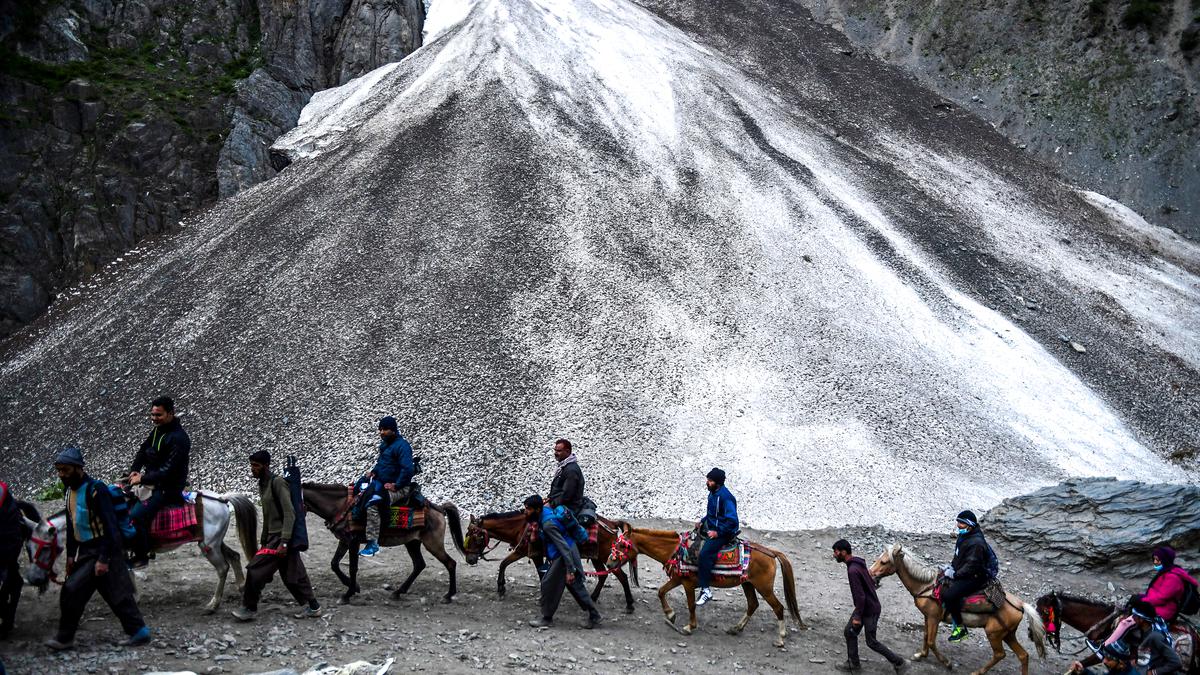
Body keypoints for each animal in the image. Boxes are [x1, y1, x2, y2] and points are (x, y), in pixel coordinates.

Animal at [25, 480, 256, 612]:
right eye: (28, 548)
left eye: (45, 548)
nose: (33, 579)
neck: (97, 517)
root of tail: (223, 499)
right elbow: (127, 571)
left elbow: (126, 572)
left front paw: (132, 597)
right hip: (213, 542)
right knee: (234, 556)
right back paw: (241, 586)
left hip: (209, 546)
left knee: (223, 567)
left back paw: (213, 604)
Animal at [300, 480, 468, 600]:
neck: (340, 506)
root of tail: (439, 509)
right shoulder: (344, 540)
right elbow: (334, 564)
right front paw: (354, 587)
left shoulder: (353, 541)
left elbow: (352, 567)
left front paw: (348, 594)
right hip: (412, 542)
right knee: (419, 564)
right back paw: (399, 592)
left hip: (433, 544)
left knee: (450, 563)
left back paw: (449, 595)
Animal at [463, 504, 643, 610]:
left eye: (475, 536)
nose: (470, 560)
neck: (520, 527)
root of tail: (612, 524)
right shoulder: (529, 553)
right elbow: (506, 565)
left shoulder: (527, 552)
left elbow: (505, 564)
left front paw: (501, 588)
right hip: (596, 557)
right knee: (603, 576)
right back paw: (593, 597)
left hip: (607, 556)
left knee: (622, 576)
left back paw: (629, 604)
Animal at [609, 521, 806, 648]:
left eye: (623, 546)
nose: (610, 562)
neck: (676, 550)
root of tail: (771, 552)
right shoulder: (678, 579)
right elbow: (661, 591)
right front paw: (670, 614)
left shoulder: (688, 583)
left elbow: (690, 605)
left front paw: (689, 626)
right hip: (748, 584)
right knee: (753, 604)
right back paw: (736, 628)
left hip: (764, 587)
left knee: (778, 608)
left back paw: (780, 639)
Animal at [868, 540, 1046, 672]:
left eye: (884, 561)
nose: (870, 573)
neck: (926, 585)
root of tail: (1020, 604)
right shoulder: (927, 617)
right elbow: (925, 636)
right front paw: (921, 655)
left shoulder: (934, 618)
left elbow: (931, 641)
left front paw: (947, 663)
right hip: (1008, 634)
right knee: (1023, 656)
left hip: (994, 634)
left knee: (1000, 655)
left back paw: (977, 672)